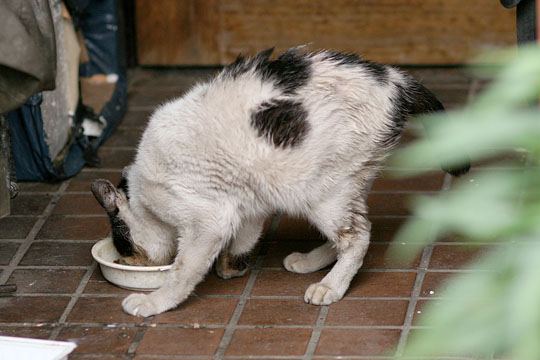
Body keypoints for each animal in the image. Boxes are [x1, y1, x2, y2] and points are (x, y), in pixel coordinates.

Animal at [90, 48, 466, 318]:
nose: (126, 263)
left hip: (320, 191)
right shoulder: (246, 201)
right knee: (350, 232)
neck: (143, 195)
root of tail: (395, 79)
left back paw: (330, 287)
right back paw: (309, 262)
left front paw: (155, 301)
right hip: (340, 183)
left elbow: (182, 271)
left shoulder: (208, 219)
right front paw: (231, 267)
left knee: (358, 237)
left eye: (122, 245)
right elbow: (245, 236)